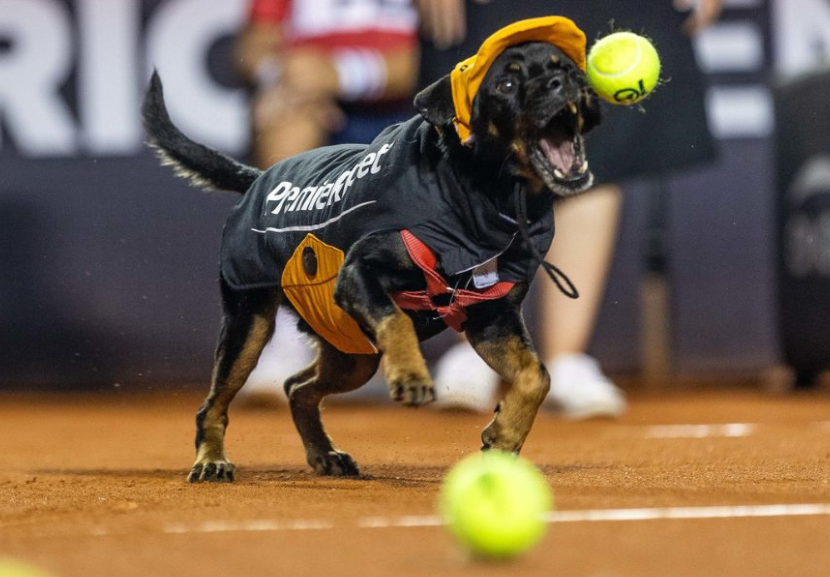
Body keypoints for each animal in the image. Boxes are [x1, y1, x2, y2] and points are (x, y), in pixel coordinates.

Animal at [143, 15, 604, 482]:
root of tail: (257, 177)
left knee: (298, 387)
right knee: (214, 404)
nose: (563, 83)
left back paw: (324, 452)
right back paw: (212, 459)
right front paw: (411, 376)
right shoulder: (358, 274)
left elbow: (536, 376)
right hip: (249, 324)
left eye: (568, 69)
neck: (486, 195)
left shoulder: (491, 318)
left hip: (351, 351)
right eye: (506, 84)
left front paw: (505, 435)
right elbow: (397, 318)